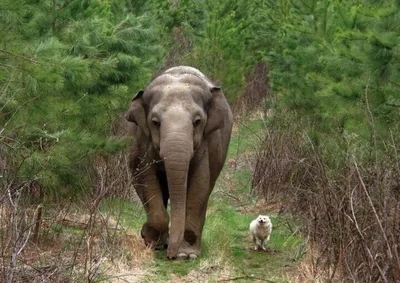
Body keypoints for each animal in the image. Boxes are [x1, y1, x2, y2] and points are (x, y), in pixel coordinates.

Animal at [126, 66, 234, 260]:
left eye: (197, 121)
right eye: (155, 122)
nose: (171, 256)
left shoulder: (206, 145)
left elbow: (199, 186)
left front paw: (187, 255)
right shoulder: (140, 141)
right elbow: (144, 178)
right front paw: (150, 240)